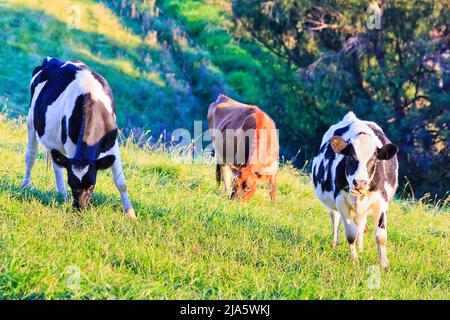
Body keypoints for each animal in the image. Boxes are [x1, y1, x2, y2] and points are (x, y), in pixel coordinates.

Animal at [22, 57, 135, 218]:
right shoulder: (71, 146)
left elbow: (121, 183)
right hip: (31, 122)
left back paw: (62, 196)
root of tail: (50, 60)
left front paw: (131, 214)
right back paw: (25, 185)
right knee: (30, 157)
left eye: (92, 183)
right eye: (71, 183)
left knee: (57, 166)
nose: (80, 208)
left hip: (54, 141)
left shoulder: (113, 145)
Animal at [312, 112, 400, 268]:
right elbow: (350, 234)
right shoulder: (340, 199)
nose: (359, 183)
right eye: (351, 157)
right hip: (334, 205)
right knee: (336, 220)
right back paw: (335, 244)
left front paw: (384, 264)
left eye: (373, 160)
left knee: (361, 224)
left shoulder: (381, 200)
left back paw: (361, 248)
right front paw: (354, 260)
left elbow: (381, 235)